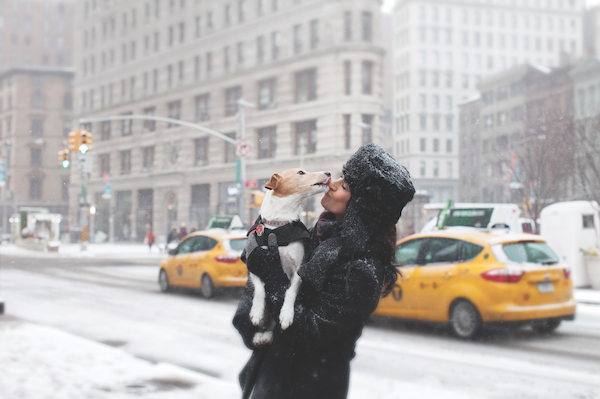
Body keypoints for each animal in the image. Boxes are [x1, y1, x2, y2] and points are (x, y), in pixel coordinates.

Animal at [245, 167, 332, 346]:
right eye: (301, 172)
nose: (328, 173)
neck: (278, 226)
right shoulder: (254, 263)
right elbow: (259, 289)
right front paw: (256, 311)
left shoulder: (298, 270)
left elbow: (290, 292)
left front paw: (286, 314)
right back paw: (261, 335)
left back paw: (266, 335)